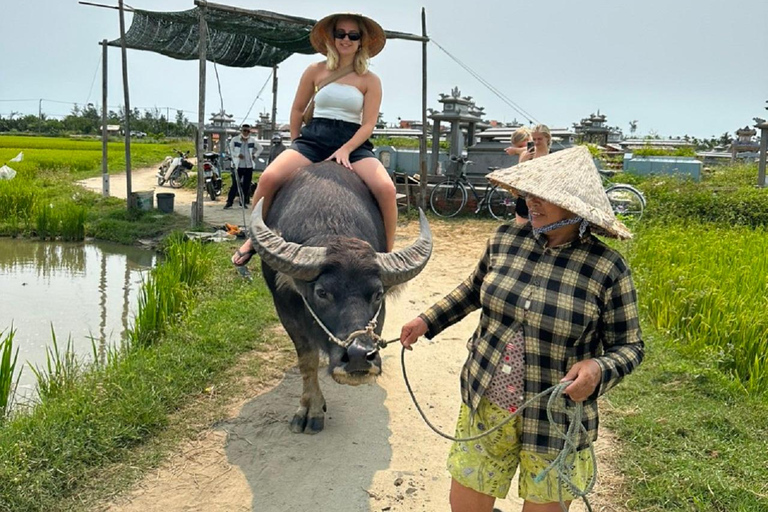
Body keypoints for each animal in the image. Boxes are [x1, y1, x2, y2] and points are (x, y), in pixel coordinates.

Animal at [252, 162, 432, 434]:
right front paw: (311, 409)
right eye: (322, 292)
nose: (358, 356)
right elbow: (307, 360)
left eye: (378, 294)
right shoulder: (286, 312)